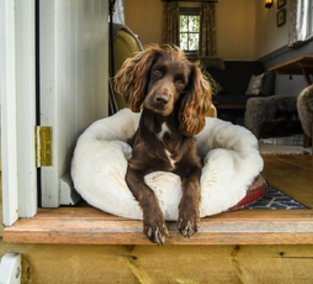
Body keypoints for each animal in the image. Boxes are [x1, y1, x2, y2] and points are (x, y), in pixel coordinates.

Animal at [113, 45, 211, 244]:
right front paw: (156, 225)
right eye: (157, 71)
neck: (165, 129)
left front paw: (189, 218)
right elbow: (147, 192)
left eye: (181, 82)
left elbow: (192, 187)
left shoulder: (195, 166)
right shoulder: (134, 169)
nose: (161, 99)